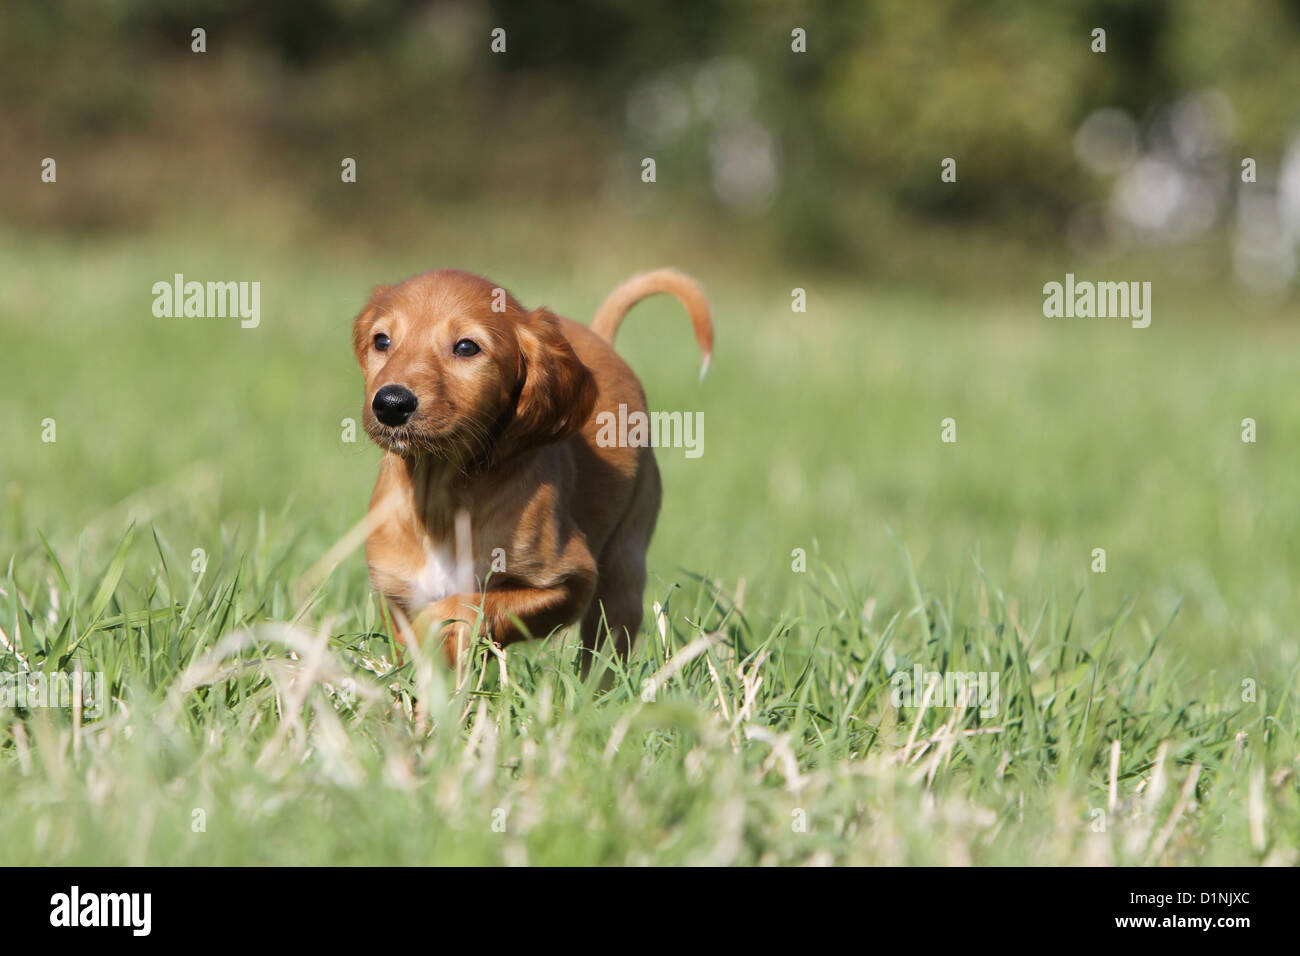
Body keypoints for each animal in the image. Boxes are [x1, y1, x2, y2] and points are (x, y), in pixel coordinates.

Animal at [353, 269, 712, 671]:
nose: (390, 403)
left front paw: (428, 634)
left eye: (466, 347)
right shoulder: (396, 592)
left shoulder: (569, 581)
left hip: (624, 569)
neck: (443, 494)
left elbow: (464, 607)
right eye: (382, 341)